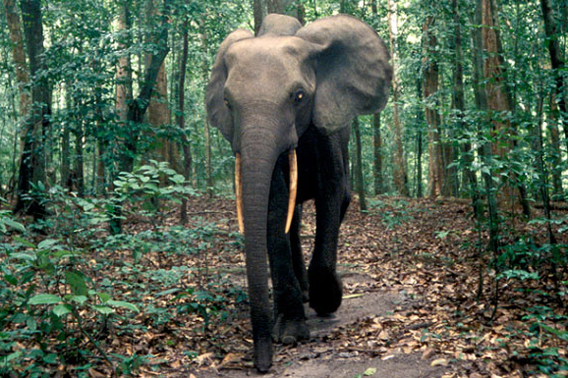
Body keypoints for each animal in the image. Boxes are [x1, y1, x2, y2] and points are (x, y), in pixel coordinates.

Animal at [206, 13, 392, 370]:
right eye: (227, 102)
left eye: (300, 97)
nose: (262, 365)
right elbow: (273, 208)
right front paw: (289, 333)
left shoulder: (327, 128)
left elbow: (333, 195)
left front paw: (329, 299)